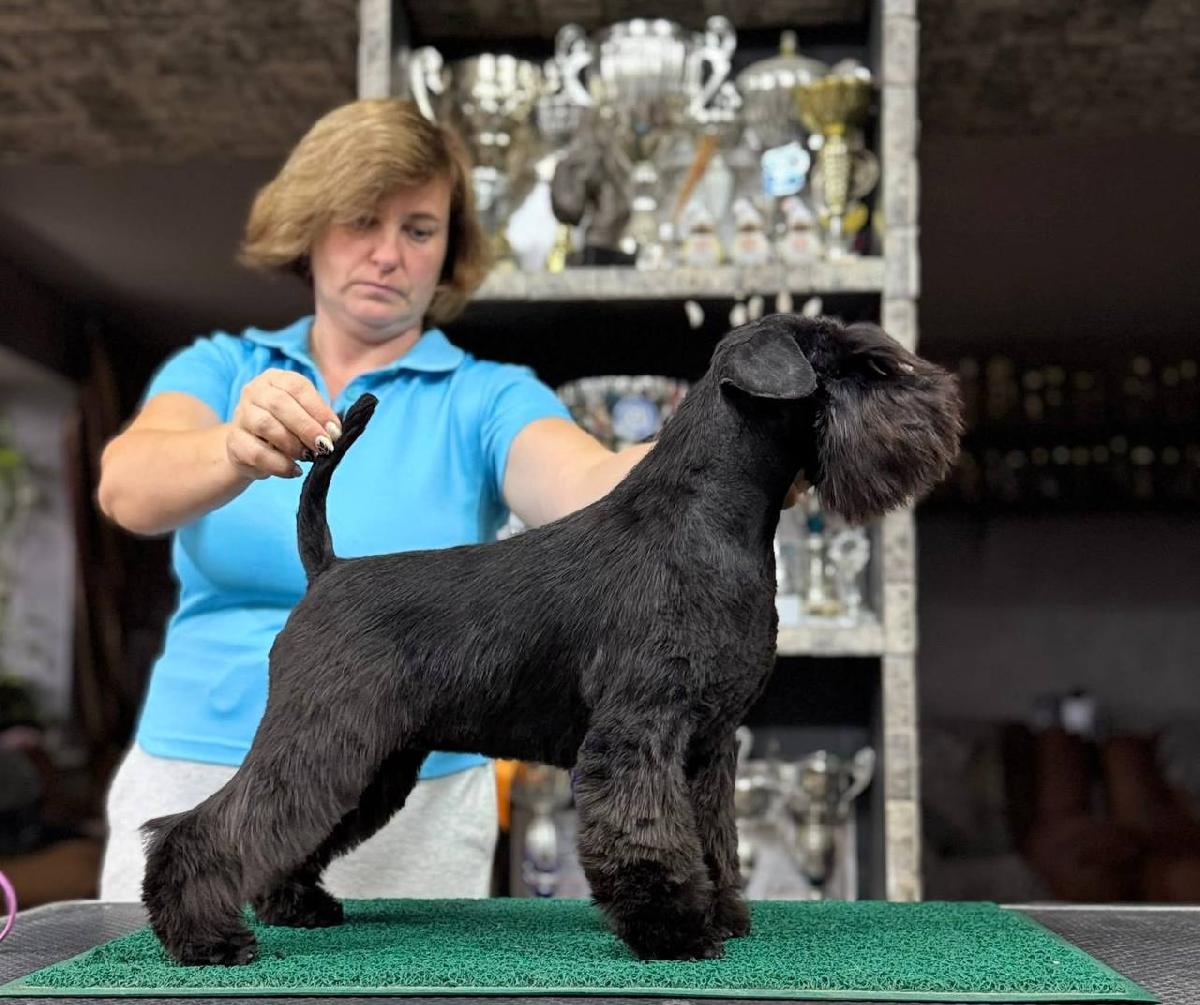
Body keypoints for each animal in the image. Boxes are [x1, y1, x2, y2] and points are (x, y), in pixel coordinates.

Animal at [141, 314, 962, 966]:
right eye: (857, 364)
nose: (944, 405)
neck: (707, 518)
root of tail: (327, 570)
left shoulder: (710, 744)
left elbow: (714, 838)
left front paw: (722, 913)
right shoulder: (639, 733)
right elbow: (649, 834)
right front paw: (673, 930)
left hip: (374, 761)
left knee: (284, 830)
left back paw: (296, 905)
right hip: (323, 737)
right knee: (208, 826)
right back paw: (205, 939)